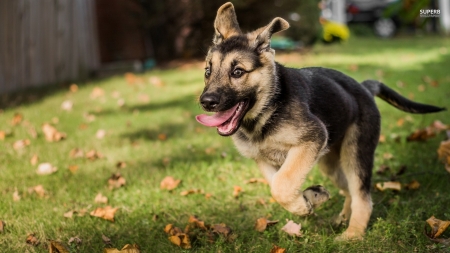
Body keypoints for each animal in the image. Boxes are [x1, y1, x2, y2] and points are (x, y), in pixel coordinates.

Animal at [195, 2, 444, 239]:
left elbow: (282, 184)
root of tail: (364, 87)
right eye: (207, 71)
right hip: (330, 162)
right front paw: (308, 199)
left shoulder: (311, 138)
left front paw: (303, 206)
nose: (206, 102)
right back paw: (341, 217)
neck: (267, 110)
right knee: (348, 191)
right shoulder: (263, 159)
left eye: (237, 72)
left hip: (355, 154)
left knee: (362, 196)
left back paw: (352, 235)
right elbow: (278, 184)